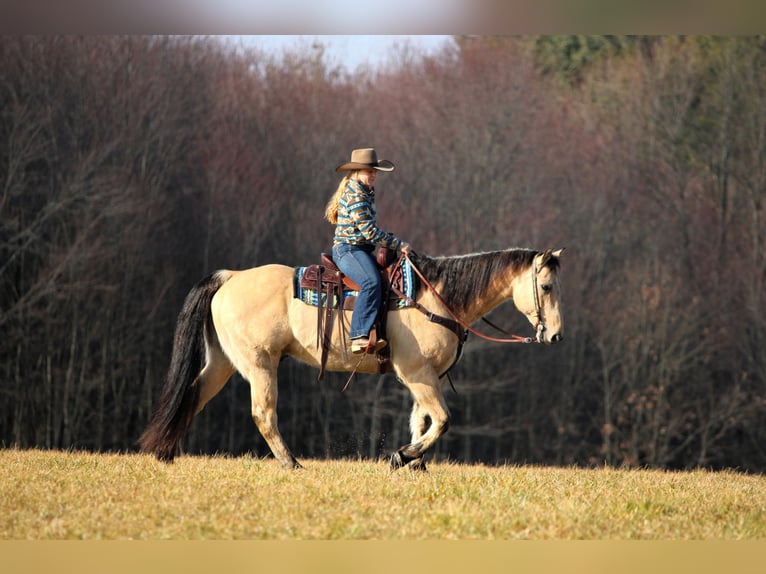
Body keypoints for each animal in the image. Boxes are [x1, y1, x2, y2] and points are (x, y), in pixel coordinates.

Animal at [139, 247, 565, 470]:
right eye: (546, 286)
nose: (555, 335)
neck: (438, 296)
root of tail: (230, 276)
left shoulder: (426, 377)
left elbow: (421, 420)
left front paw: (412, 462)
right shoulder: (417, 373)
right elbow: (442, 420)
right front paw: (404, 456)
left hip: (224, 362)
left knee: (193, 394)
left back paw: (165, 453)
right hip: (260, 364)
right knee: (263, 414)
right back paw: (291, 464)